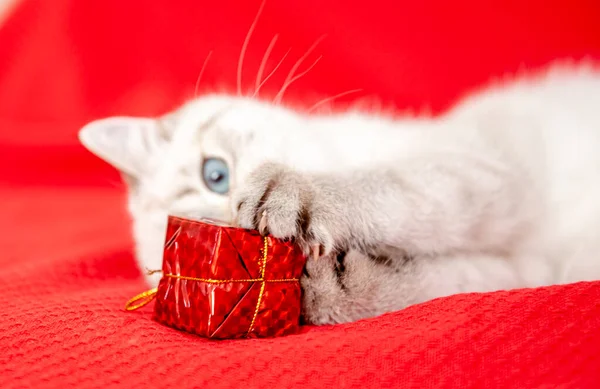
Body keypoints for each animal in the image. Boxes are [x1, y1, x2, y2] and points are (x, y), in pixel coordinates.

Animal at [78, 63, 600, 324]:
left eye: (217, 175)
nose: (242, 237)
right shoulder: (523, 268)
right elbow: (434, 283)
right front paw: (333, 288)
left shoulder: (481, 169)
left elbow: (393, 186)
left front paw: (297, 193)